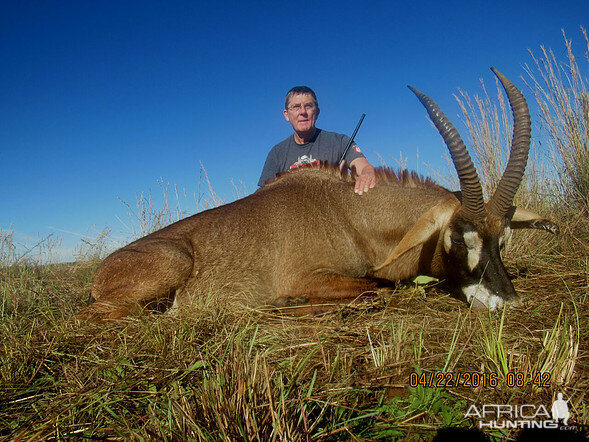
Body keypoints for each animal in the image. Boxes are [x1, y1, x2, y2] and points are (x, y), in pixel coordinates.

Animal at [77, 67, 556, 320]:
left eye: (504, 239)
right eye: (458, 237)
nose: (508, 302)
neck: (353, 216)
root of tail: (103, 271)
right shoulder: (307, 276)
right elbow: (377, 288)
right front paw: (291, 303)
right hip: (170, 267)